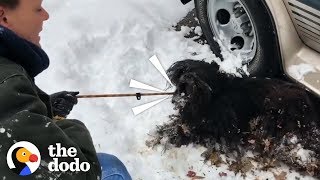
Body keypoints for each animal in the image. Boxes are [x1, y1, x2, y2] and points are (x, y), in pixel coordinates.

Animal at [160, 59, 320, 176]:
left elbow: (187, 130)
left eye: (202, 75)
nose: (188, 78)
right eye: (187, 70)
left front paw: (169, 134)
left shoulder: (219, 130)